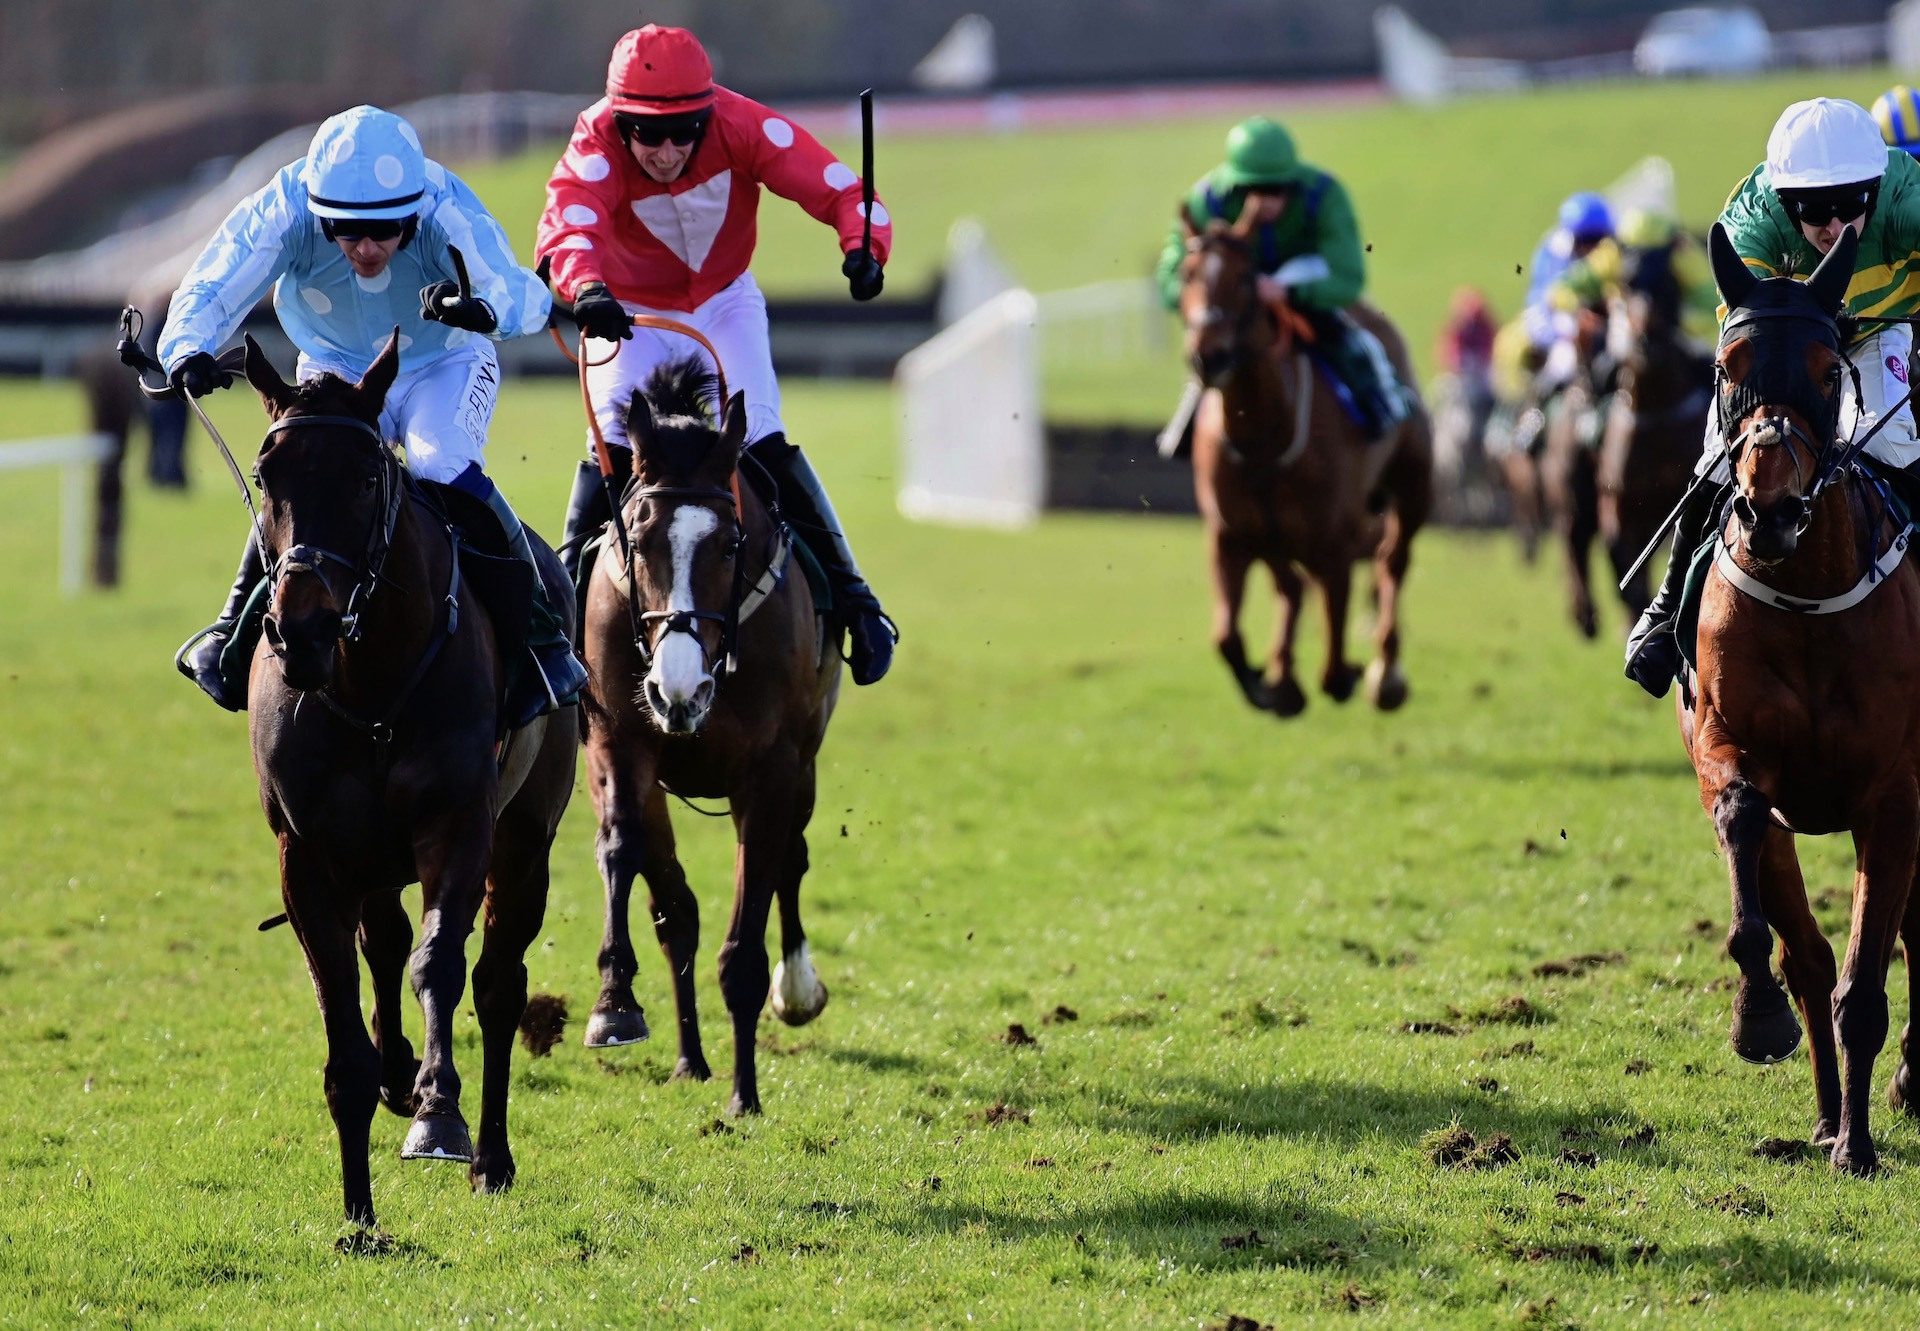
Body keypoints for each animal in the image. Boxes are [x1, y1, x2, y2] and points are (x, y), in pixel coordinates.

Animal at [238, 334, 576, 1221]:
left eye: (364, 478)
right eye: (266, 475)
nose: (301, 628)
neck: (369, 684)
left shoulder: (458, 825)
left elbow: (441, 964)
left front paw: (438, 1113)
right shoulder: (306, 853)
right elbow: (344, 1018)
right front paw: (357, 1213)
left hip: (526, 835)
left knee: (496, 982)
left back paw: (488, 1151)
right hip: (370, 856)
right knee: (383, 939)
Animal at [572, 359, 837, 1113]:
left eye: (728, 544)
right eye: (636, 538)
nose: (678, 687)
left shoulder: (773, 768)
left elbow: (749, 930)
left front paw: (746, 1094)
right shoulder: (618, 738)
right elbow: (628, 854)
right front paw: (614, 1004)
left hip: (806, 761)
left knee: (791, 859)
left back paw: (795, 990)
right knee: (677, 912)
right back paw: (690, 1057)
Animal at [1175, 217, 1436, 718]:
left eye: (1245, 279)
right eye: (1186, 274)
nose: (1207, 355)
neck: (1261, 435)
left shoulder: (1335, 541)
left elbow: (1333, 656)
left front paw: (1348, 673)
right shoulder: (1229, 535)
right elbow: (1226, 637)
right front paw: (1270, 684)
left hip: (1413, 484)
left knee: (1391, 561)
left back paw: (1385, 674)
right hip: (1274, 534)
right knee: (1291, 585)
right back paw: (1283, 674)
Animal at [1681, 225, 1920, 1175]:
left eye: (1825, 369)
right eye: (1726, 364)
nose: (1770, 509)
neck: (1808, 595)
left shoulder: (1893, 796)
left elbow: (1867, 980)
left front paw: (1859, 1145)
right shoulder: (1726, 746)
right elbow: (1749, 837)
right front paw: (1759, 1019)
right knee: (1814, 955)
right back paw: (1822, 1113)